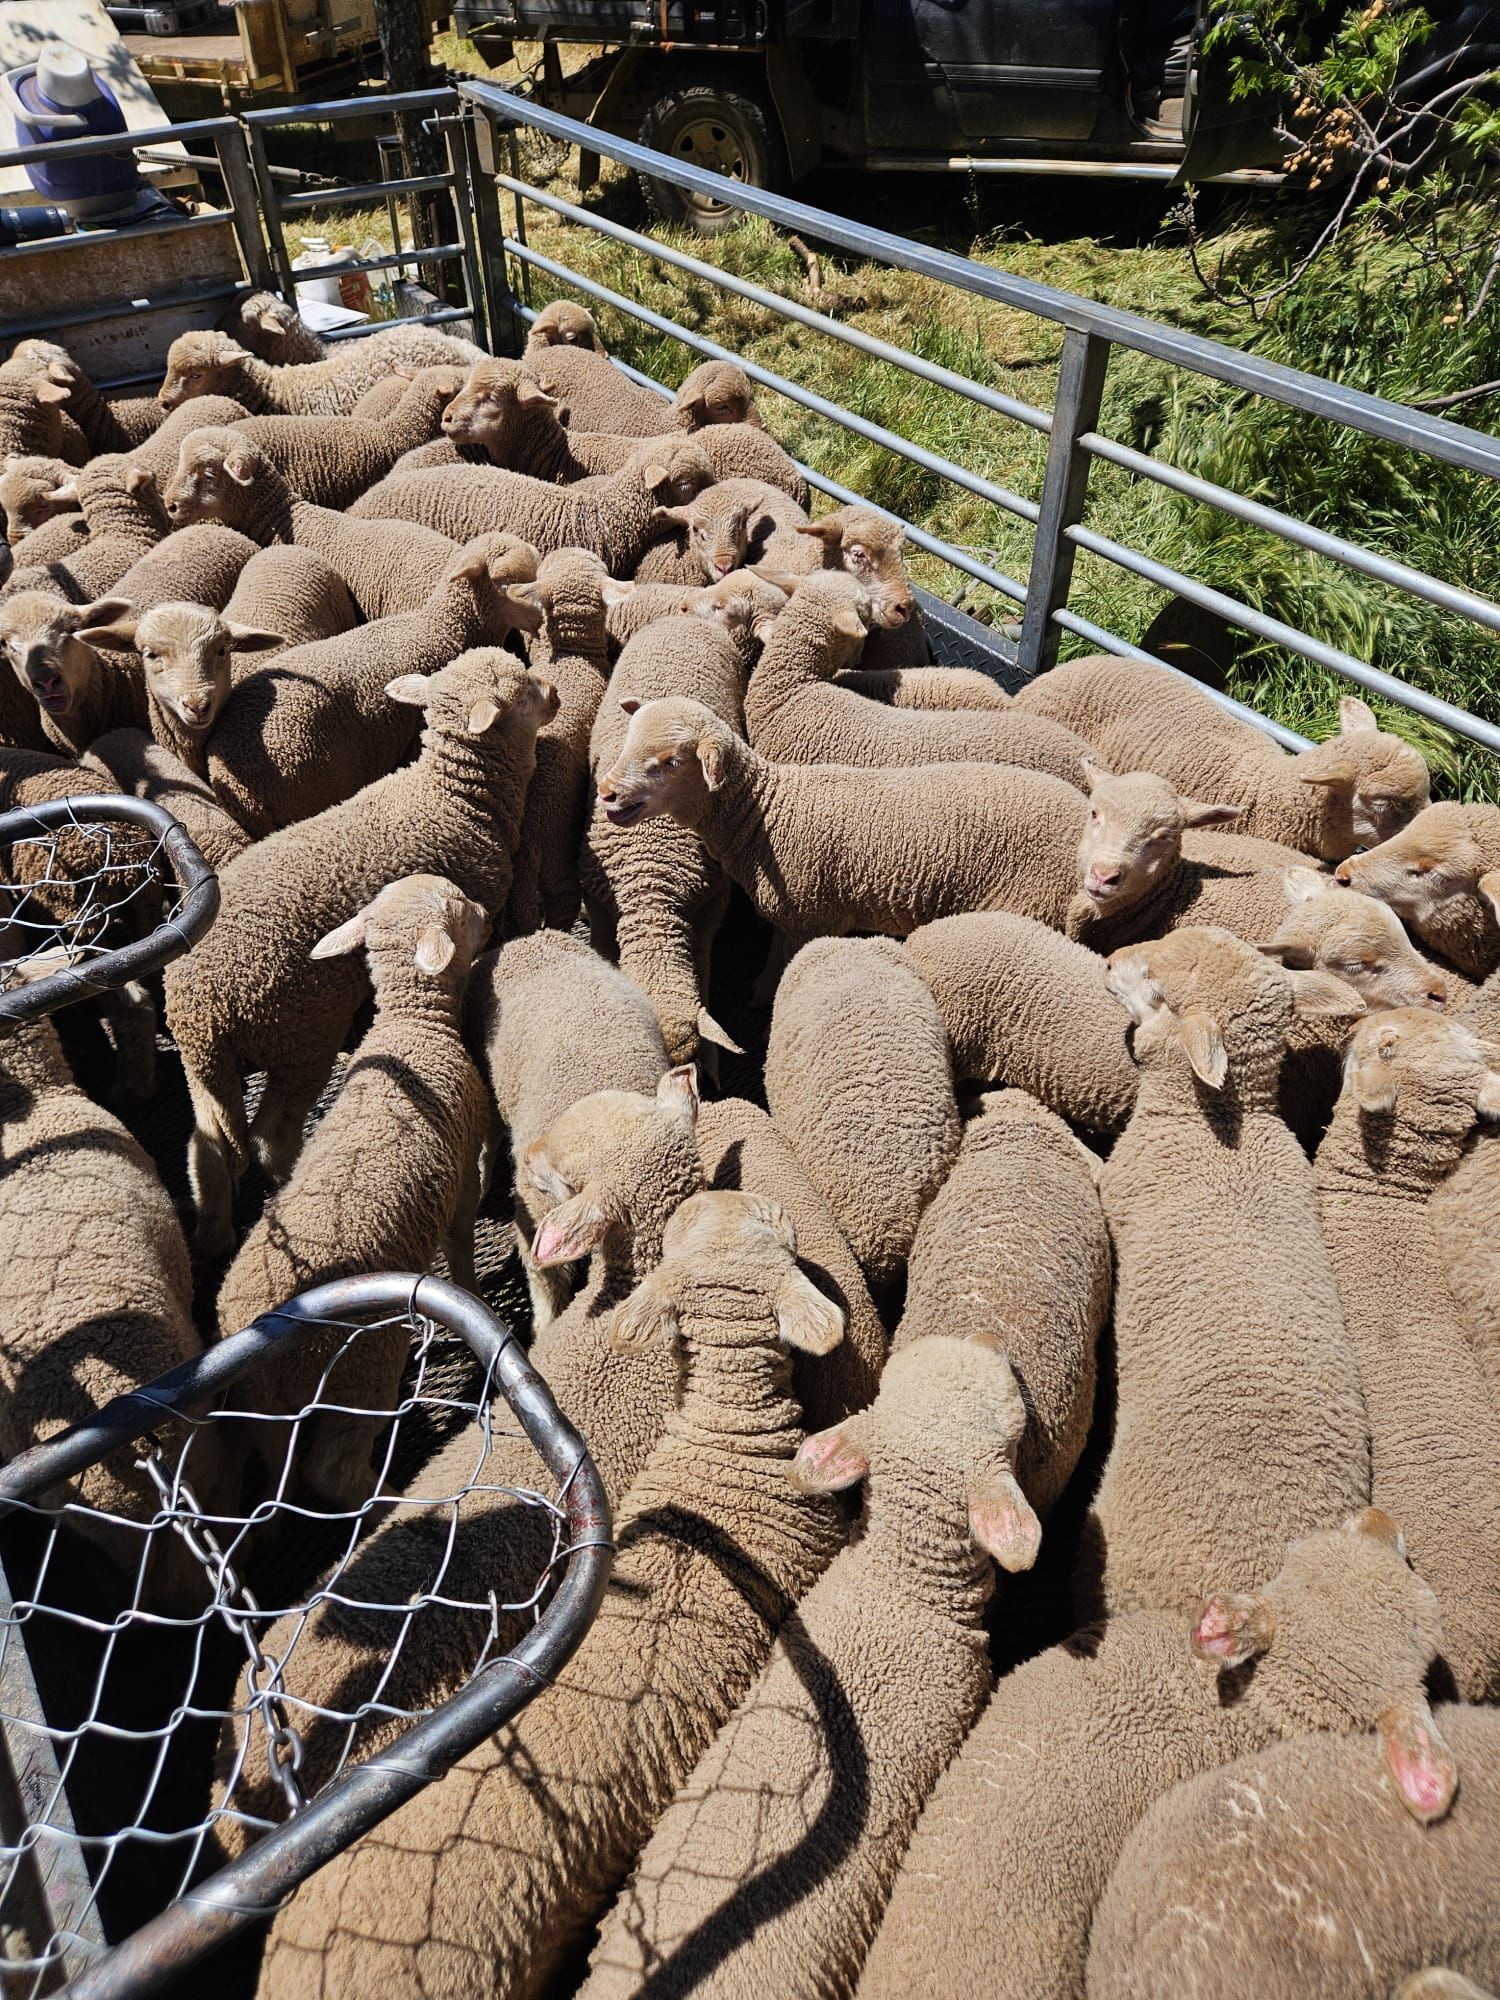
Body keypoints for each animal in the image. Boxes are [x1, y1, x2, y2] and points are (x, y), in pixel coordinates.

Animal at [164, 651, 556, 1257]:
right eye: (524, 693)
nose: (556, 694)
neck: (454, 797)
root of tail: (199, 1010)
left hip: (206, 1068)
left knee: (206, 1144)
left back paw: (214, 1233)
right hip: (301, 1030)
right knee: (269, 1135)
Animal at [218, 876, 490, 1510]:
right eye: (463, 909)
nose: (491, 915)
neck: (414, 1025)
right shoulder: (465, 1157)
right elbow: (462, 1238)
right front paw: (473, 1297)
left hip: (262, 1415)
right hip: (361, 1366)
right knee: (332, 1470)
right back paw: (389, 1495)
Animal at [596, 696, 1089, 951]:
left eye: (671, 762)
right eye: (629, 737)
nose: (607, 792)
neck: (765, 817)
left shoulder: (810, 918)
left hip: (1034, 903)